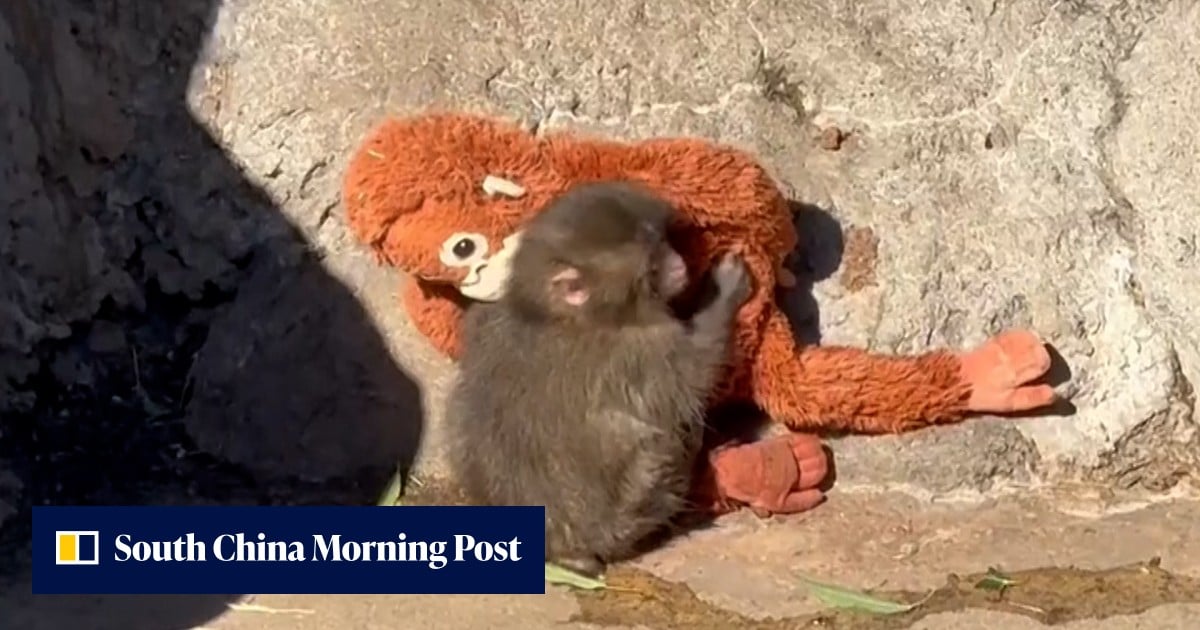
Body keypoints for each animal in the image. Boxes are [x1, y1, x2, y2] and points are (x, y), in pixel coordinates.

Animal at [444, 181, 753, 577]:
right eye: (653, 263)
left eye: (663, 240)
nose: (679, 264)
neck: (556, 313)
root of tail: (560, 551)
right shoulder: (642, 350)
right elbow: (693, 378)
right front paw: (724, 291)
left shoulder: (487, 316)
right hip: (631, 509)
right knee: (660, 441)